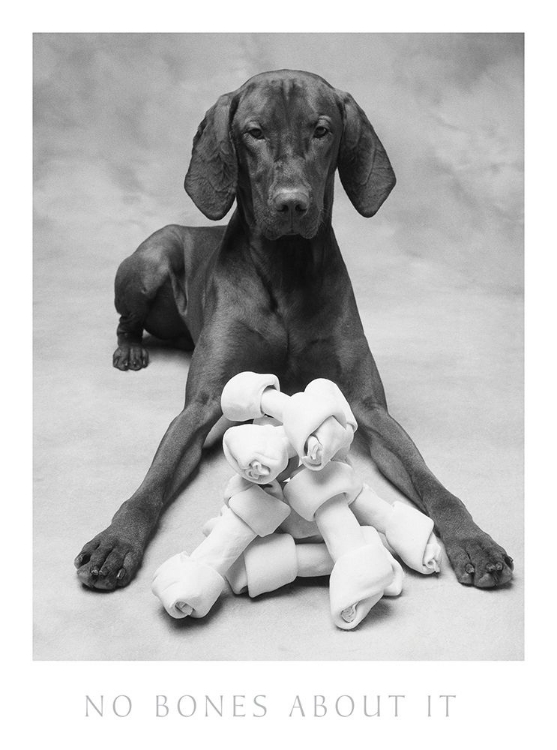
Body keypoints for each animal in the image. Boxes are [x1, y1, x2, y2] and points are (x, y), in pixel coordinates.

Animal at [74, 69, 512, 592]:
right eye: (254, 132)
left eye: (321, 130)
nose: (291, 205)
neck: (285, 267)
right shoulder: (202, 404)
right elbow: (151, 482)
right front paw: (117, 539)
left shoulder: (369, 407)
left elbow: (431, 481)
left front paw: (473, 540)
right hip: (149, 260)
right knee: (128, 320)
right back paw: (129, 350)